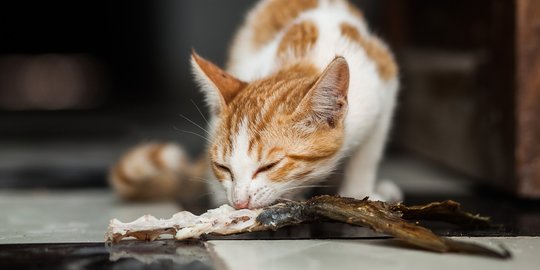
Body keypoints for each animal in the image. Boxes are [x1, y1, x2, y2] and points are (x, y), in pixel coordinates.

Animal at [109, 0, 400, 209]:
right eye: (223, 167)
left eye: (269, 166)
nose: (239, 203)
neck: (304, 59)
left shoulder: (382, 81)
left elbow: (367, 154)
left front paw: (359, 191)